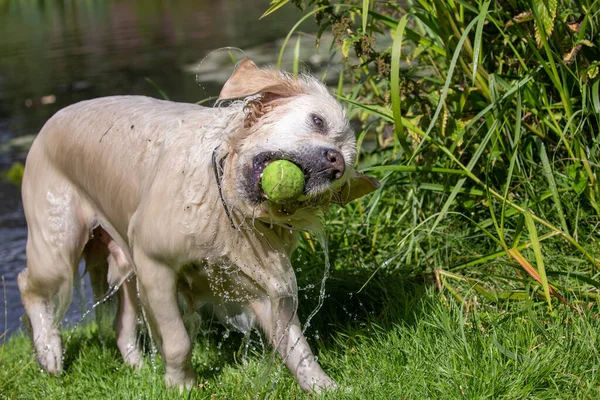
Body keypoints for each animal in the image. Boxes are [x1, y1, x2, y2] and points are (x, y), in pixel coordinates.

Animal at [19, 59, 380, 394]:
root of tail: (55, 115)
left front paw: (323, 386)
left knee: (122, 326)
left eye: (346, 168)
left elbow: (296, 345)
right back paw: (50, 353)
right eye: (318, 121)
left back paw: (137, 368)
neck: (225, 202)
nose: (335, 163)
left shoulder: (263, 284)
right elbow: (178, 341)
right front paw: (181, 384)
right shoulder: (155, 264)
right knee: (27, 283)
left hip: (123, 259)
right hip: (58, 245)